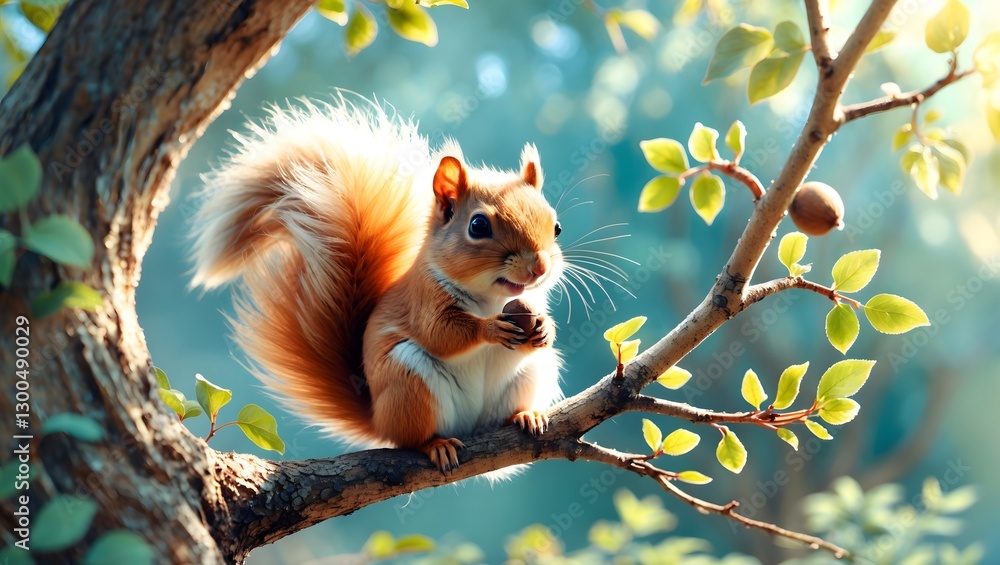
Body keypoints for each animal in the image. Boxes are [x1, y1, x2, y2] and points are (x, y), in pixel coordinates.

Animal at [191, 98, 564, 473]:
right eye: (478, 226)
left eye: (556, 226)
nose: (540, 267)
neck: (493, 298)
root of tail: (379, 419)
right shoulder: (423, 299)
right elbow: (441, 333)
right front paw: (490, 329)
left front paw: (545, 328)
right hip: (408, 384)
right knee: (412, 437)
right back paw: (437, 444)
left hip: (531, 373)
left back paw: (526, 415)